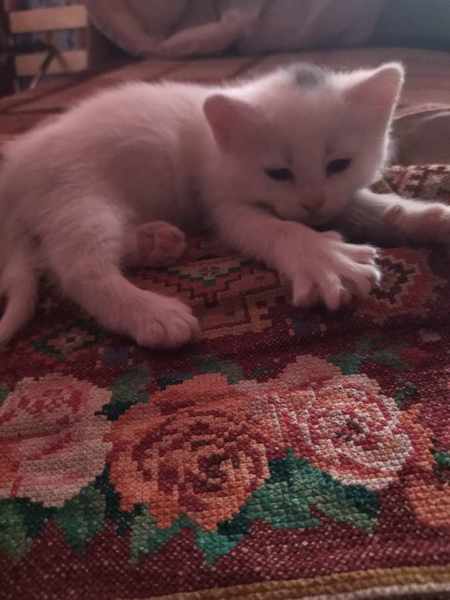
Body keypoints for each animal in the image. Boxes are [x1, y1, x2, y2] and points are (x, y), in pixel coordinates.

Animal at [1, 61, 449, 348]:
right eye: (278, 173)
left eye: (339, 164)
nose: (312, 203)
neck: (220, 143)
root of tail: (16, 164)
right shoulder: (223, 202)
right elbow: (277, 228)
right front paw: (323, 257)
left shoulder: (336, 196)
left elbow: (361, 204)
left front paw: (424, 216)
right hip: (79, 191)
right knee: (75, 267)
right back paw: (150, 313)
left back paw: (155, 242)